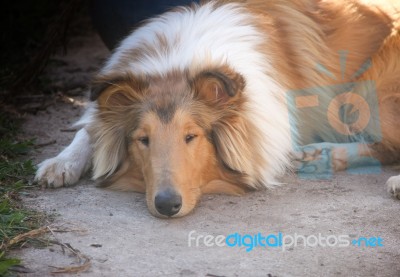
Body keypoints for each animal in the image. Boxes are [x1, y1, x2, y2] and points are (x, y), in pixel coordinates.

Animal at [35, 0, 400, 217]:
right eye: (143, 140)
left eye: (191, 136)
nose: (167, 206)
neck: (180, 62)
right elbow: (90, 128)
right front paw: (61, 163)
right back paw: (317, 155)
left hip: (370, 90)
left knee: (388, 146)